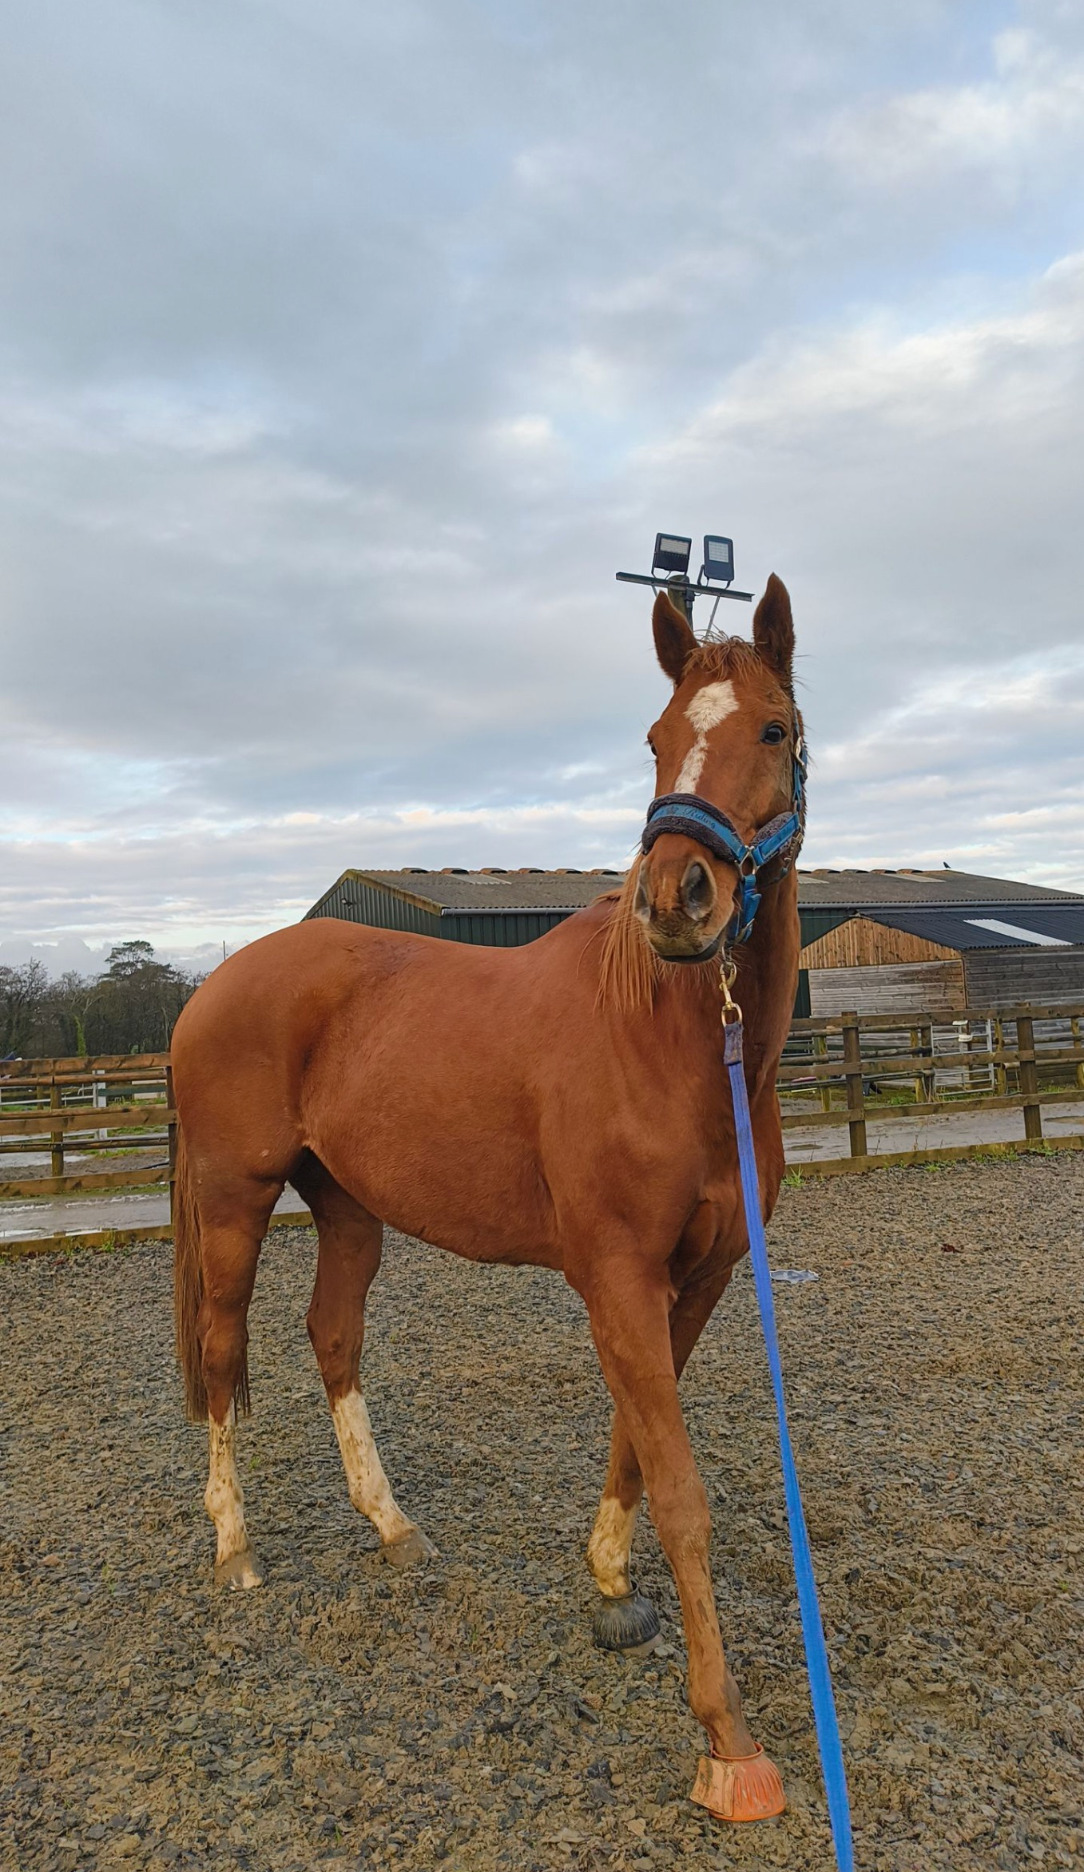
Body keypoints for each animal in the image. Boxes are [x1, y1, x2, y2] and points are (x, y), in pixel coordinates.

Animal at [170, 574, 805, 1825]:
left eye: (771, 729)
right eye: (656, 738)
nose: (678, 899)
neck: (673, 1043)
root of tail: (214, 984)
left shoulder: (697, 1278)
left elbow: (634, 1443)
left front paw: (609, 1585)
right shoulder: (617, 1275)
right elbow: (681, 1488)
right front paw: (728, 1742)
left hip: (348, 1208)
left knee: (332, 1337)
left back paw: (393, 1527)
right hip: (233, 1200)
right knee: (223, 1356)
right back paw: (235, 1549)